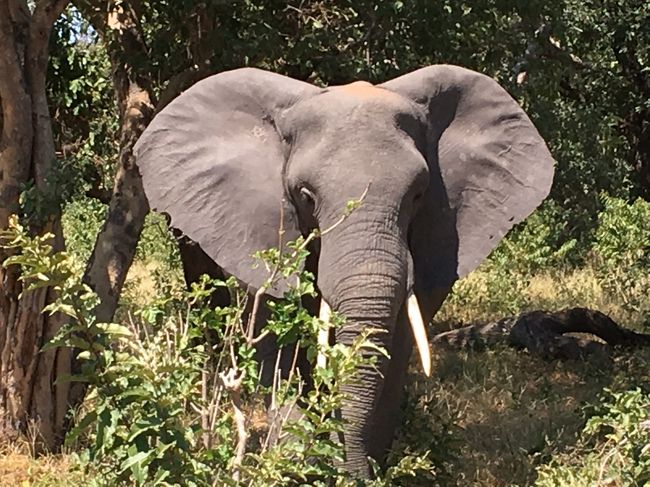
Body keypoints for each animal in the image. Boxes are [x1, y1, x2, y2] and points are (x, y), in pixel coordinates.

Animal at [134, 65, 556, 476]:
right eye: (306, 196)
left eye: (418, 194)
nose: (347, 468)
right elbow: (278, 339)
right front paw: (296, 465)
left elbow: (398, 345)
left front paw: (365, 469)